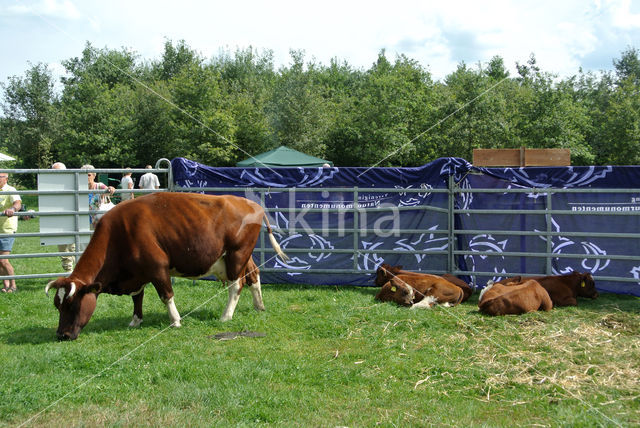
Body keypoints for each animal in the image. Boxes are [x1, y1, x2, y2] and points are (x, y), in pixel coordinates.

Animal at [44, 194, 284, 342]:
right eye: (57, 306)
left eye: (73, 305)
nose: (62, 335)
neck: (118, 233)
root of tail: (253, 205)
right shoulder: (137, 274)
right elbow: (137, 297)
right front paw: (135, 320)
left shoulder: (157, 267)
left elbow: (166, 295)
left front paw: (175, 321)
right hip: (243, 256)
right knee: (253, 275)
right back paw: (259, 306)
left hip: (236, 255)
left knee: (237, 284)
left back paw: (226, 316)